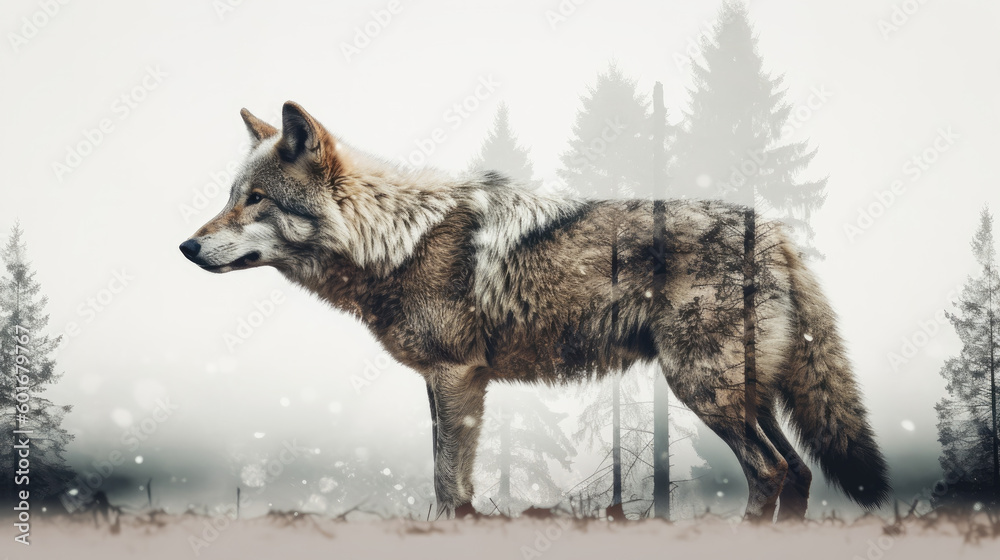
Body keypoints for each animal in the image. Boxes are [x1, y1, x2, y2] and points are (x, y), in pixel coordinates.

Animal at [180, 101, 890, 521]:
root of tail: (770, 230)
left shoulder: (458, 375)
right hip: (742, 396)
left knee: (772, 472)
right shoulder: (442, 382)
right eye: (231, 196)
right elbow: (448, 480)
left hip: (704, 390)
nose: (186, 247)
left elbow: (447, 483)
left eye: (255, 199)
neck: (396, 241)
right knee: (798, 472)